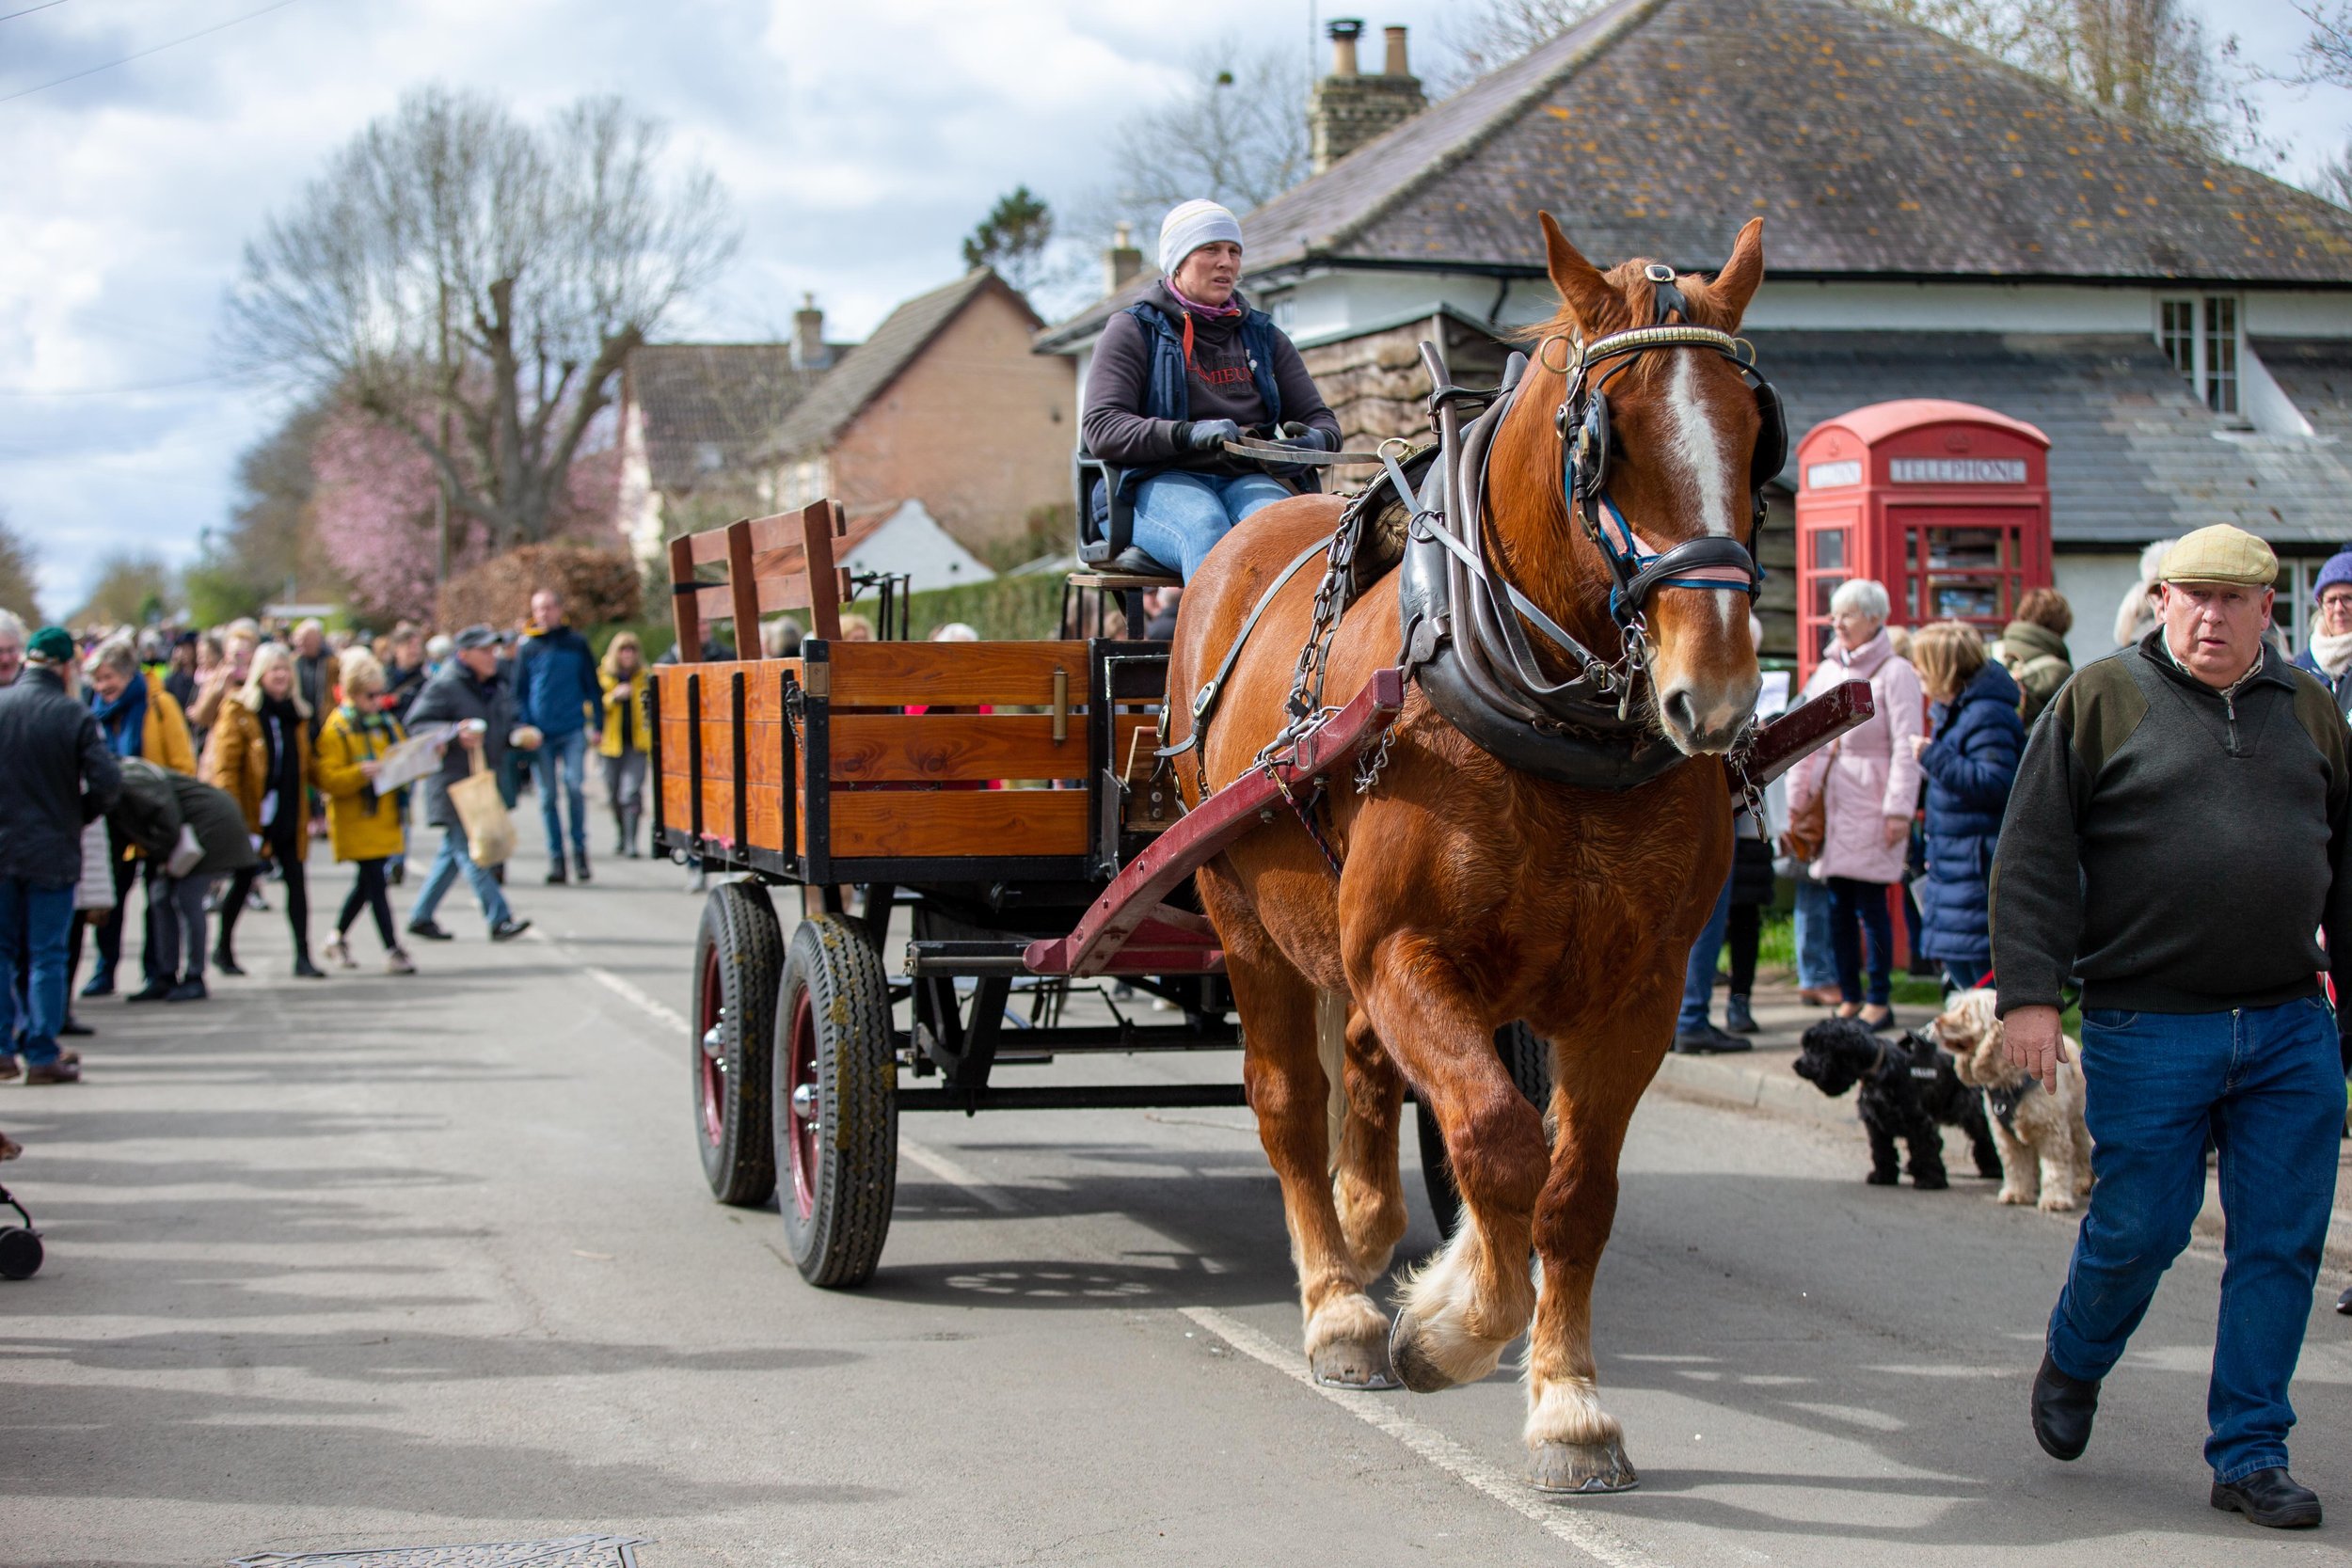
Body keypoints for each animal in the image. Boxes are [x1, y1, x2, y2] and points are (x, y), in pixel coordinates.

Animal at [1167, 211, 1769, 1495]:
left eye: (1756, 435)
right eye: (1603, 440)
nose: (1717, 690)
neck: (1554, 719)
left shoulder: (1637, 992)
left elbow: (1572, 1190)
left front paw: (1568, 1403)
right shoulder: (1403, 950)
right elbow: (1498, 1145)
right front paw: (1444, 1327)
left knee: (1362, 1069)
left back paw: (1367, 1223)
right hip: (1242, 914)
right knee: (1287, 1098)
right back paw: (1339, 1302)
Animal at [1797, 1020, 2004, 1189]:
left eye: (1818, 1047)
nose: (1797, 1065)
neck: (1878, 1068)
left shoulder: (1918, 1121)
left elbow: (1924, 1148)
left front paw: (1930, 1180)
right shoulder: (1875, 1123)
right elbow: (1882, 1151)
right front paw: (1883, 1176)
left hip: (1972, 1112)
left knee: (1984, 1138)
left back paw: (1993, 1169)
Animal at [1929, 991, 2098, 1212]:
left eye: (1966, 1014)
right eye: (1955, 1008)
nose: (1937, 1022)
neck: (2009, 1082)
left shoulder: (2051, 1132)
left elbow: (2055, 1168)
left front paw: (2055, 1200)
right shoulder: (2006, 1137)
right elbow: (2016, 1166)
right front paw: (2017, 1193)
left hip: (2076, 1120)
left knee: (2081, 1150)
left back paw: (2082, 1181)